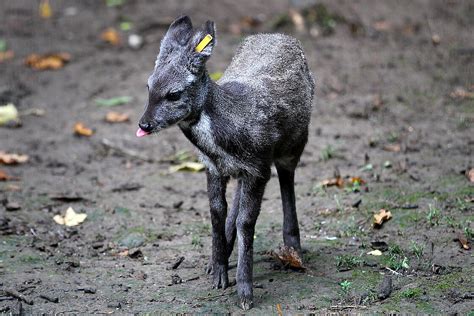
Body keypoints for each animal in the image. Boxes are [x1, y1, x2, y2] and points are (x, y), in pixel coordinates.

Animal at [136, 16, 314, 310]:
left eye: (174, 94)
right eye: (148, 86)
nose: (144, 124)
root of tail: (278, 35)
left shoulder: (259, 167)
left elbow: (247, 222)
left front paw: (244, 291)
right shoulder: (212, 167)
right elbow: (217, 210)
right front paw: (219, 269)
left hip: (295, 143)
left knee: (287, 180)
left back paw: (293, 249)